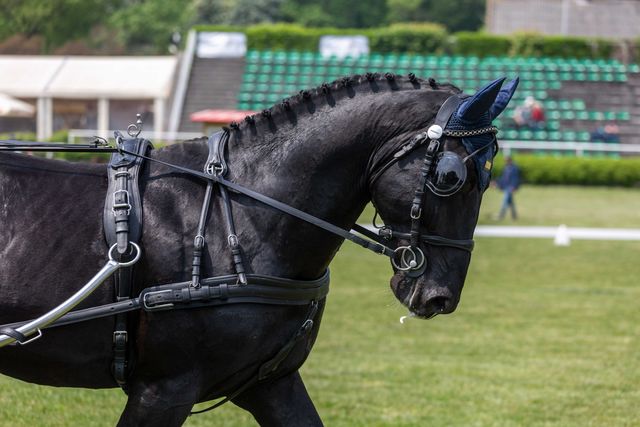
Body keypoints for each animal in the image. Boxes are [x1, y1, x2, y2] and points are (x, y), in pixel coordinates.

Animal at [0, 75, 516, 426]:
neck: (246, 210)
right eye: (450, 176)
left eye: (491, 175)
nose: (439, 296)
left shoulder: (271, 382)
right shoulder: (163, 389)